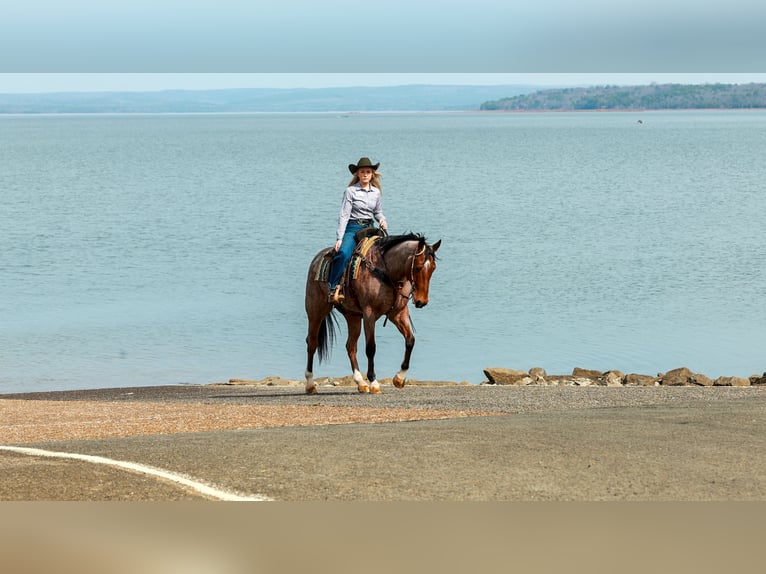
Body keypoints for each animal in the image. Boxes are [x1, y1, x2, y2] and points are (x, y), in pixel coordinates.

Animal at [304, 232, 441, 394]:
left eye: (433, 268)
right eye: (419, 268)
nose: (422, 301)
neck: (387, 272)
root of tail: (317, 259)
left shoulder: (398, 313)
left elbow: (410, 340)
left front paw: (399, 378)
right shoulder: (369, 314)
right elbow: (371, 348)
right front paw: (374, 383)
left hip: (353, 316)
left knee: (350, 346)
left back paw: (360, 382)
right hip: (316, 310)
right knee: (312, 343)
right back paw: (310, 384)